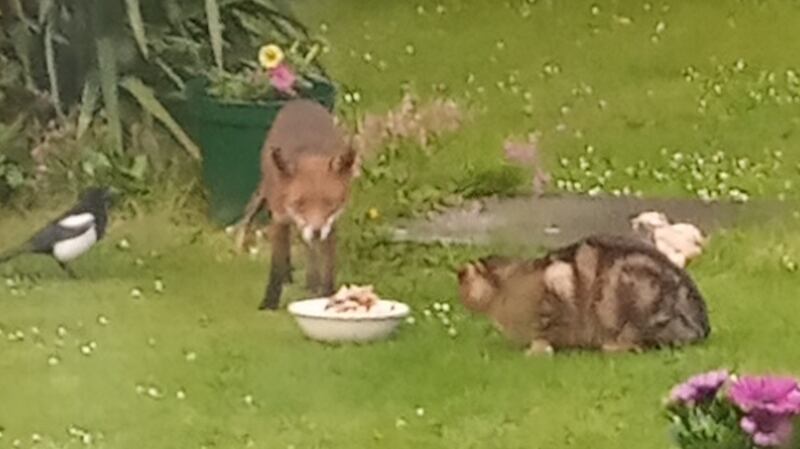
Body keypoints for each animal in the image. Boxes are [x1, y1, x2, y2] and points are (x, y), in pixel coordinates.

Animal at [235, 99, 358, 310]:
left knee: (310, 251)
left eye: (330, 203)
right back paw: (289, 276)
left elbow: (328, 265)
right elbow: (276, 265)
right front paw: (270, 302)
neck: (310, 154)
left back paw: (311, 281)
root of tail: (301, 101)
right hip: (267, 197)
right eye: (299, 203)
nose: (316, 231)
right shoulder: (279, 218)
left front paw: (327, 295)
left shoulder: (331, 225)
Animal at [456, 234, 711, 355]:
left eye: (462, 279)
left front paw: (536, 349)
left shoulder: (556, 286)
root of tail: (701, 328)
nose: (458, 273)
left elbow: (545, 332)